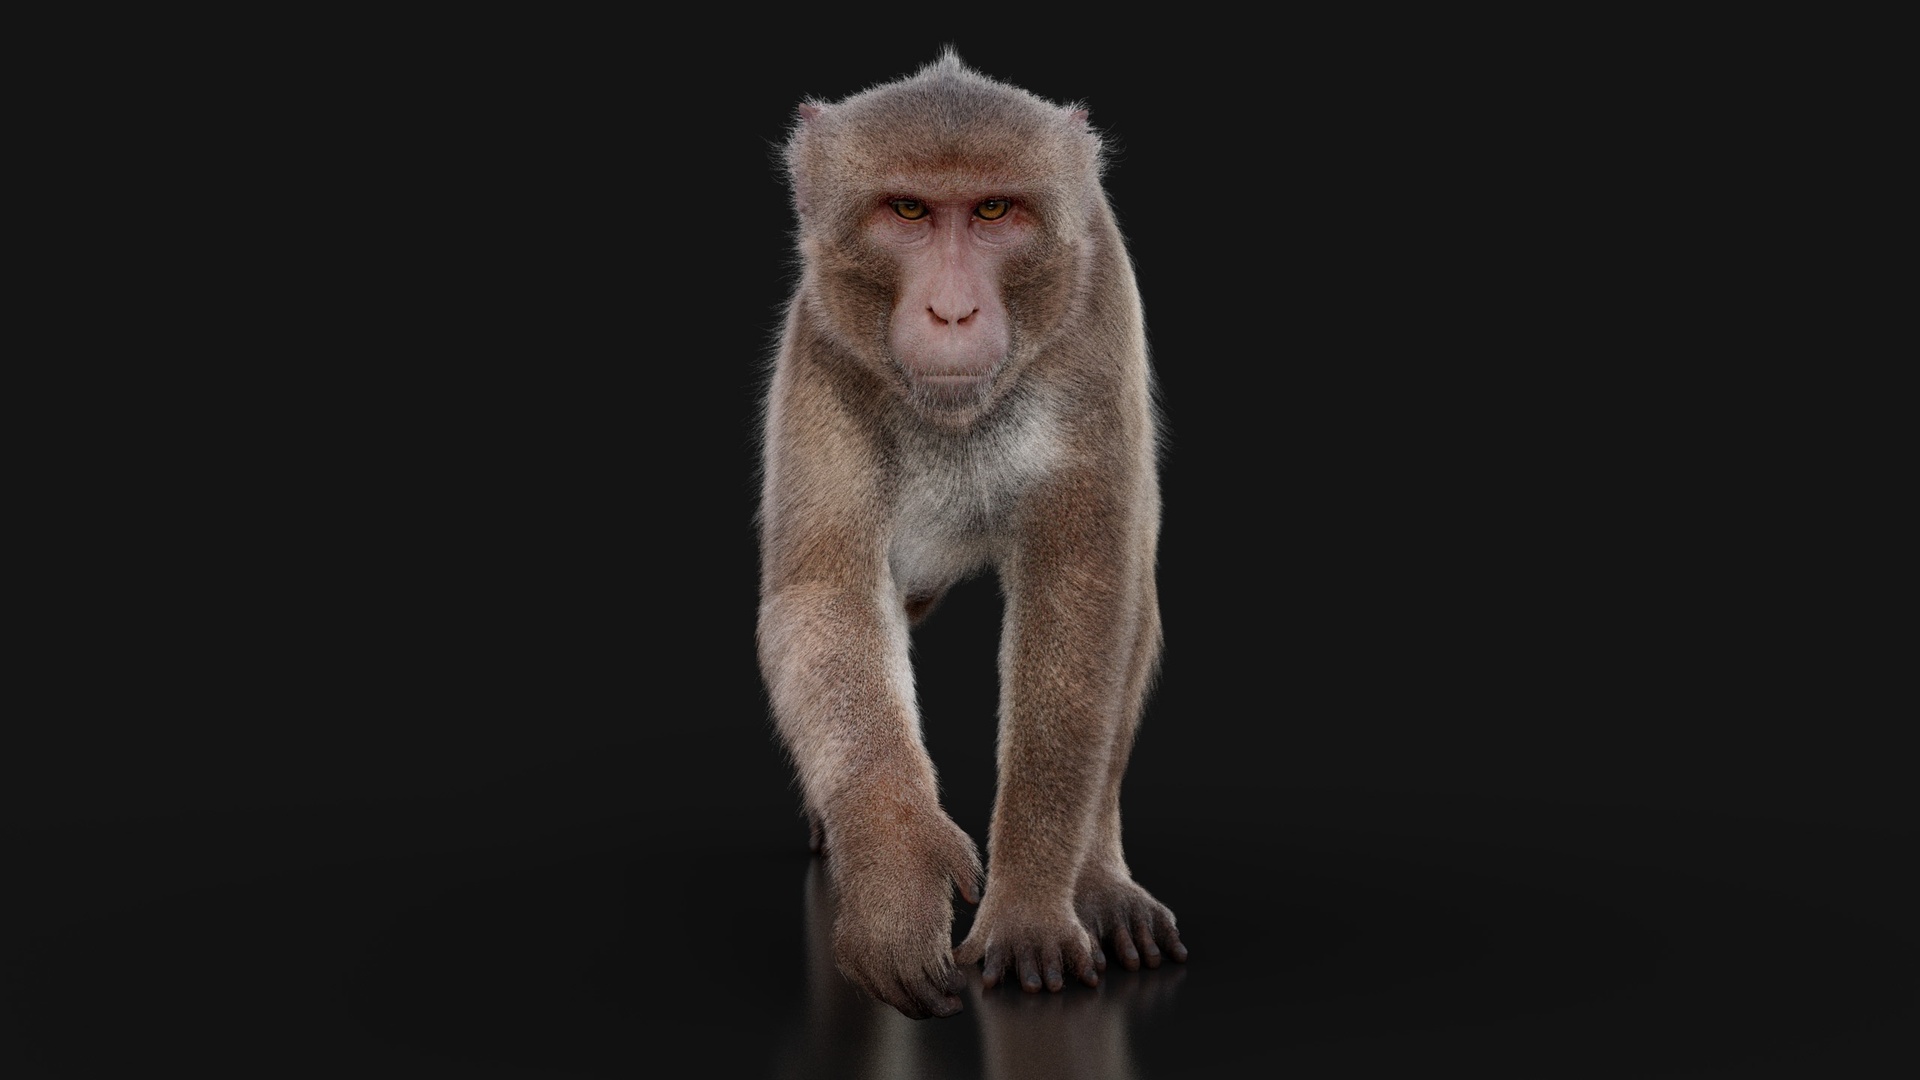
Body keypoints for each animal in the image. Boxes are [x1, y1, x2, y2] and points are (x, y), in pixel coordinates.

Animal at [756, 50, 1186, 1020]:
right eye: (908, 211)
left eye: (993, 212)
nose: (951, 313)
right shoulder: (825, 347)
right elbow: (824, 595)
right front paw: (893, 871)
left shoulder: (1091, 326)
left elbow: (1084, 589)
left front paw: (1031, 905)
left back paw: (1098, 879)